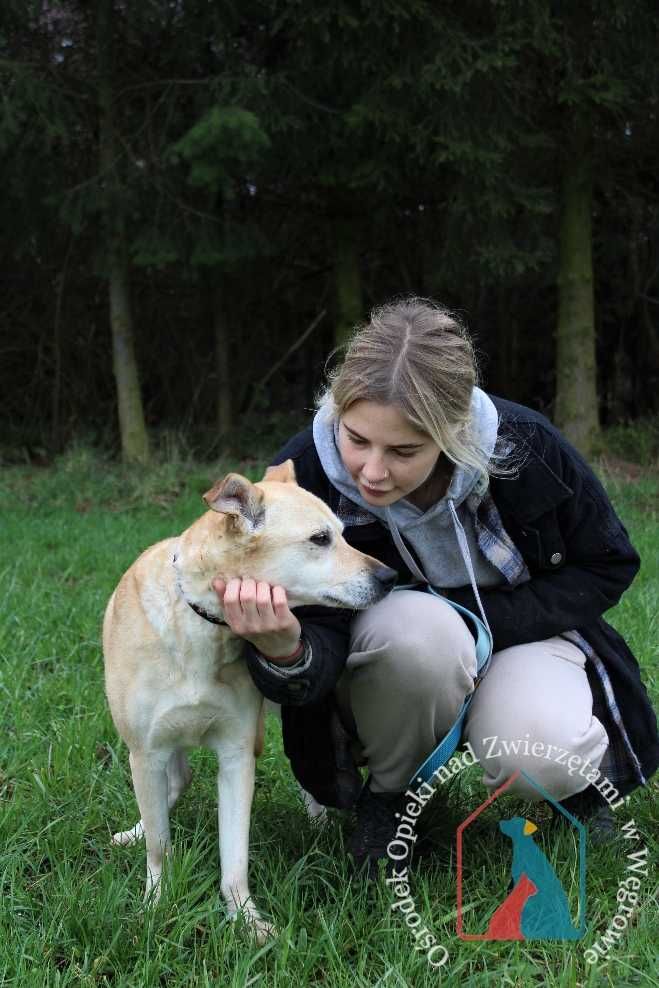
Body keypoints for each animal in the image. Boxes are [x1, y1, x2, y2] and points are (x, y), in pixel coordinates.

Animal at [103, 462, 398, 940]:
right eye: (321, 539)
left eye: (343, 533)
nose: (389, 578)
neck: (202, 621)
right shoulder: (147, 751)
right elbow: (160, 847)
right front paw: (155, 904)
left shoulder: (238, 755)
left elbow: (235, 859)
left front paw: (246, 919)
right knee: (173, 783)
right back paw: (136, 830)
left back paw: (317, 819)